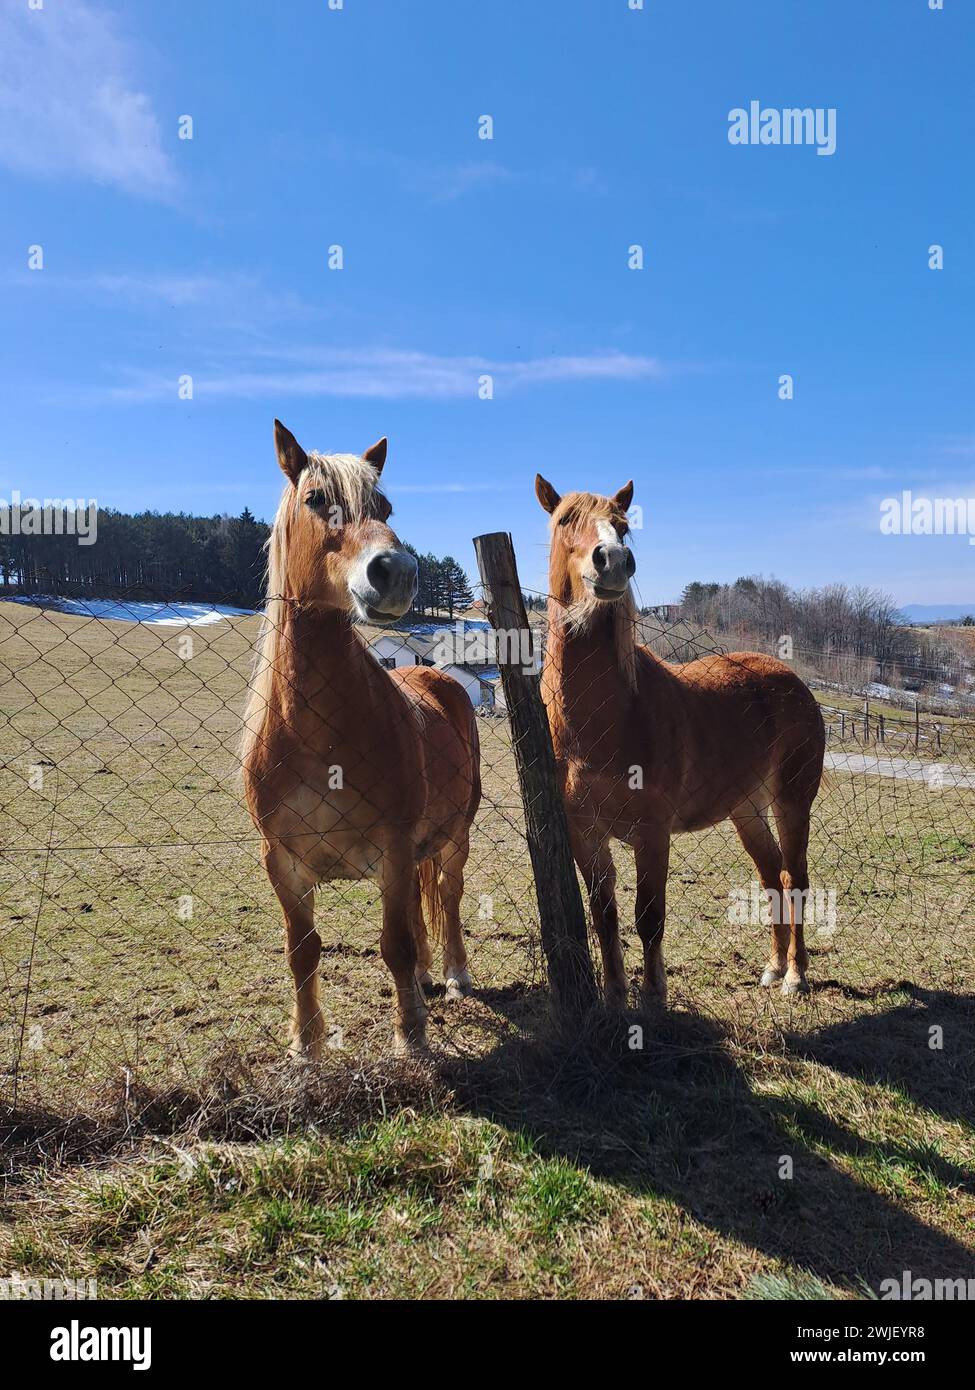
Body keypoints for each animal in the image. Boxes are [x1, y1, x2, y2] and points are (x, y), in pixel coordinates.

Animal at [242, 421, 481, 1057]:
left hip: (453, 837)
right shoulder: (282, 861)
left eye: (385, 507)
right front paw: (306, 1045)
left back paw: (453, 974)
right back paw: (426, 977)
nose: (395, 572)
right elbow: (303, 952)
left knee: (446, 895)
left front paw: (411, 1036)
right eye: (315, 499)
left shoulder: (392, 848)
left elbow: (394, 943)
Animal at [534, 473, 826, 1006]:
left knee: (794, 878)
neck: (608, 715)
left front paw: (653, 998)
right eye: (565, 520)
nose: (613, 560)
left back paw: (795, 976)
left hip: (792, 801)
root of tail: (792, 680)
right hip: (746, 808)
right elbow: (604, 916)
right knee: (771, 876)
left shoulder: (652, 834)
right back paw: (773, 968)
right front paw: (614, 997)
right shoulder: (585, 834)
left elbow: (649, 918)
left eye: (624, 526)